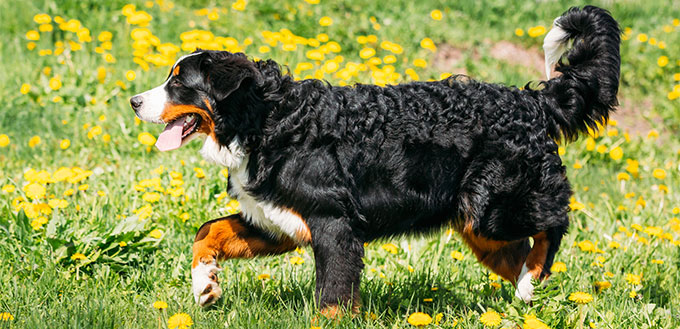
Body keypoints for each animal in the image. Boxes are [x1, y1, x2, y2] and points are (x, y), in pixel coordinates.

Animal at [130, 6, 620, 316]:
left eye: (179, 83)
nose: (135, 101)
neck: (270, 121)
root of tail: (532, 102)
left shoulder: (334, 226)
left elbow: (331, 301)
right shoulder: (275, 220)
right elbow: (206, 231)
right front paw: (205, 285)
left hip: (493, 209)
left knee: (555, 222)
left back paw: (532, 278)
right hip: (478, 225)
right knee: (520, 252)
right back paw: (524, 293)